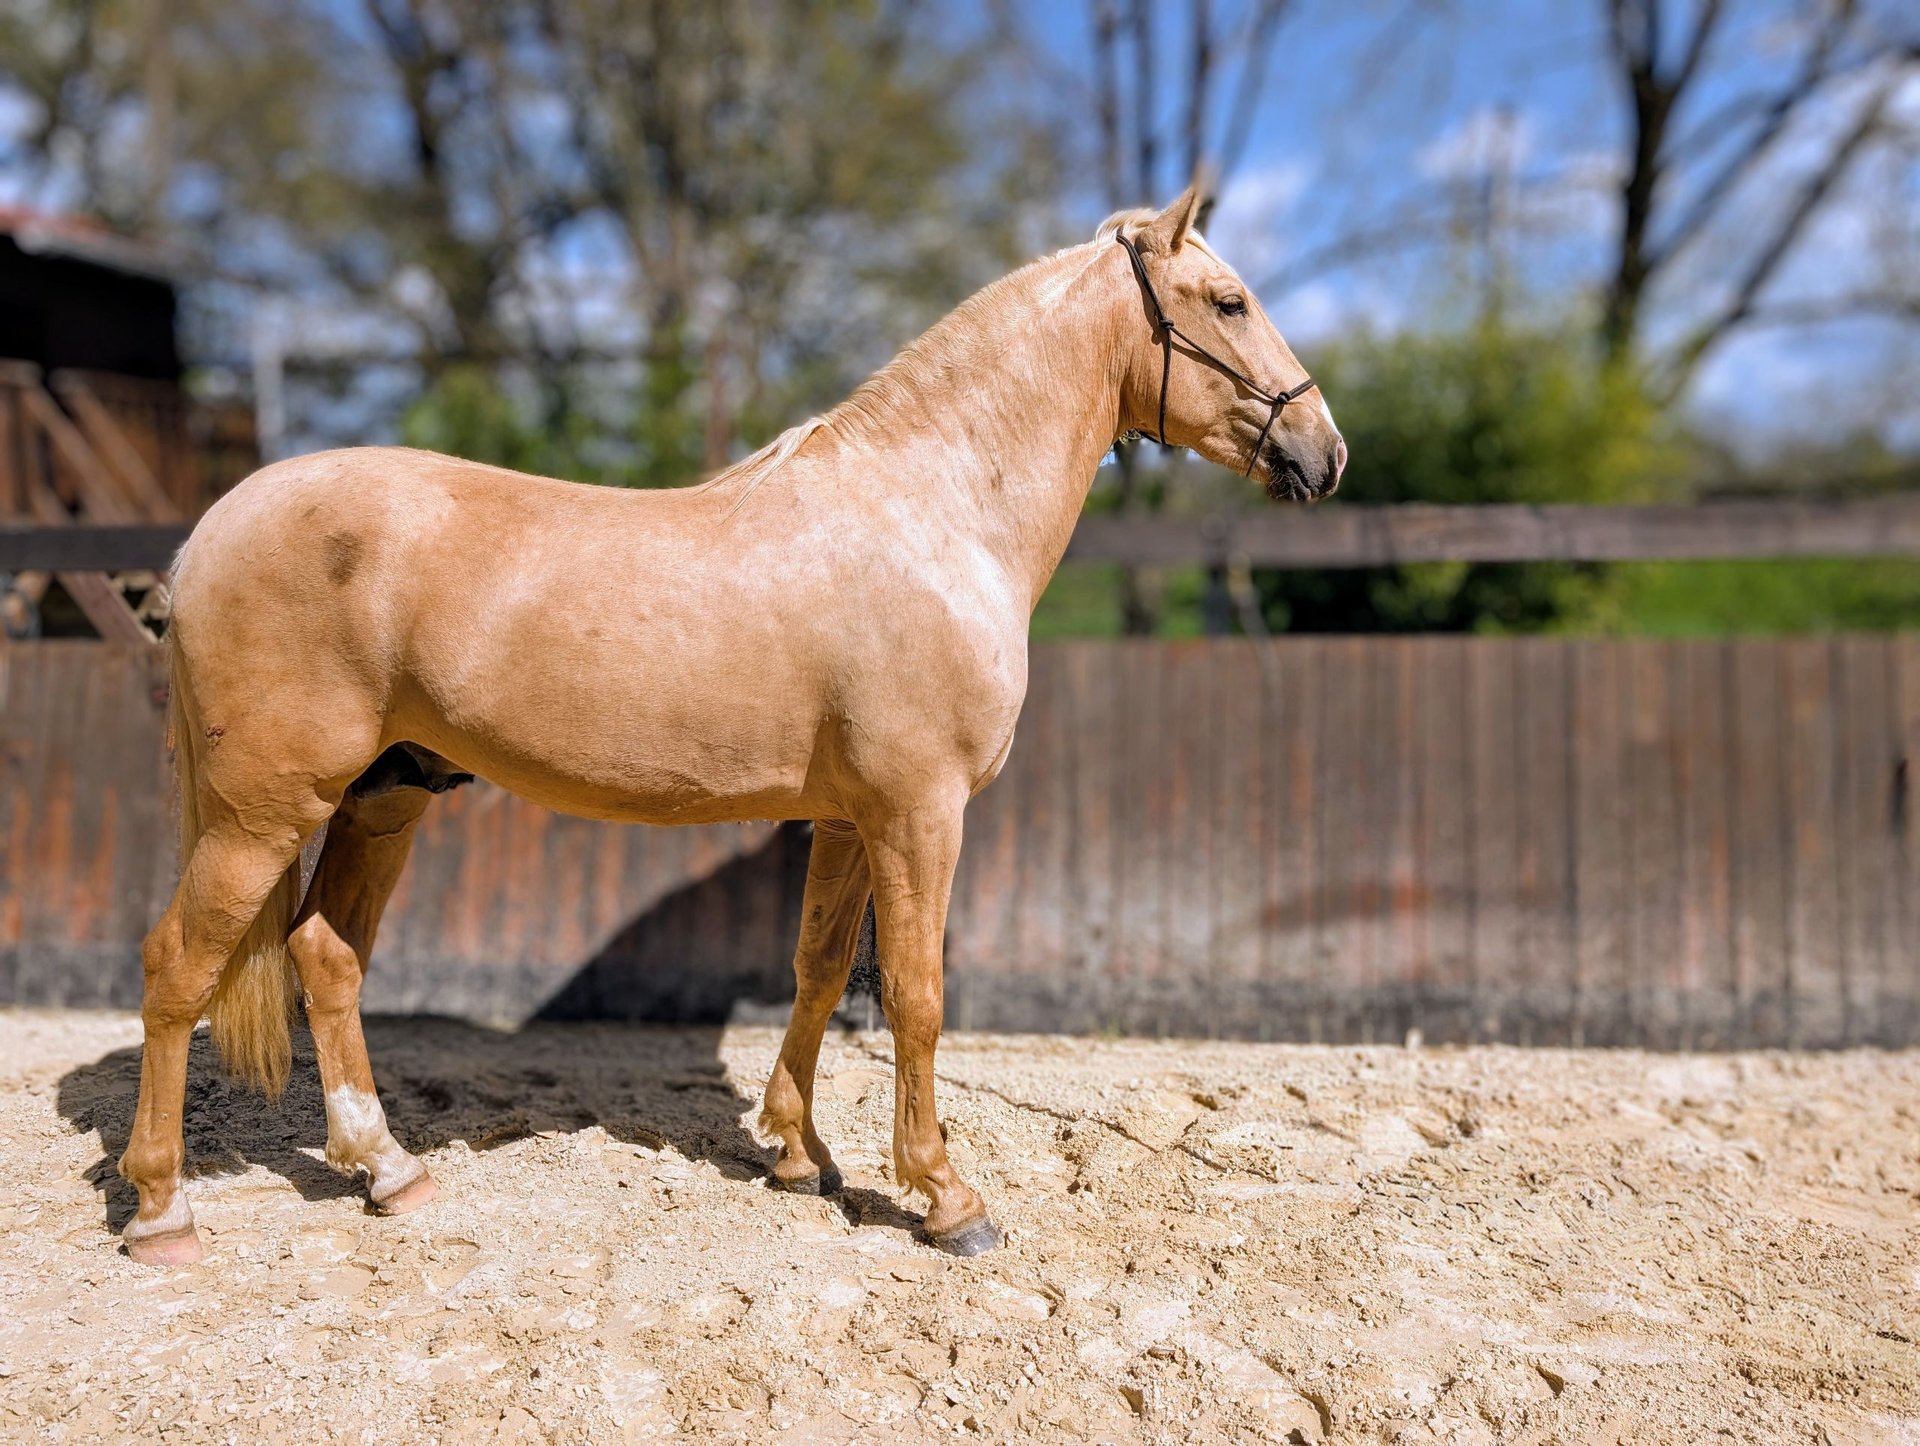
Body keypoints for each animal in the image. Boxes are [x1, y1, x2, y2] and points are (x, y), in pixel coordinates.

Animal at [116, 185, 1345, 1266]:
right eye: (1229, 300)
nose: (1325, 453)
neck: (929, 516)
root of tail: (212, 531)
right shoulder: (919, 815)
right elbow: (917, 998)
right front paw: (945, 1197)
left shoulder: (849, 821)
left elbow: (816, 971)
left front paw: (798, 1153)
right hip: (262, 817)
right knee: (177, 968)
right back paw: (163, 1212)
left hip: (383, 798)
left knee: (325, 957)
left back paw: (388, 1170)